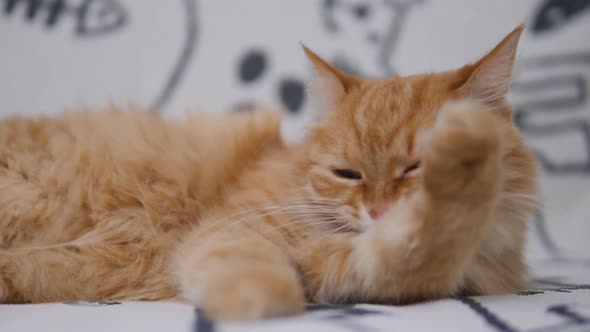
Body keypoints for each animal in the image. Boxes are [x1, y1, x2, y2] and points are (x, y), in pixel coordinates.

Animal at [0, 26, 536, 320]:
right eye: (347, 173)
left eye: (414, 167)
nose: (379, 209)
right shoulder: (234, 227)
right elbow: (252, 270)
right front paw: (253, 305)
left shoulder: (353, 264)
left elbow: (416, 250)